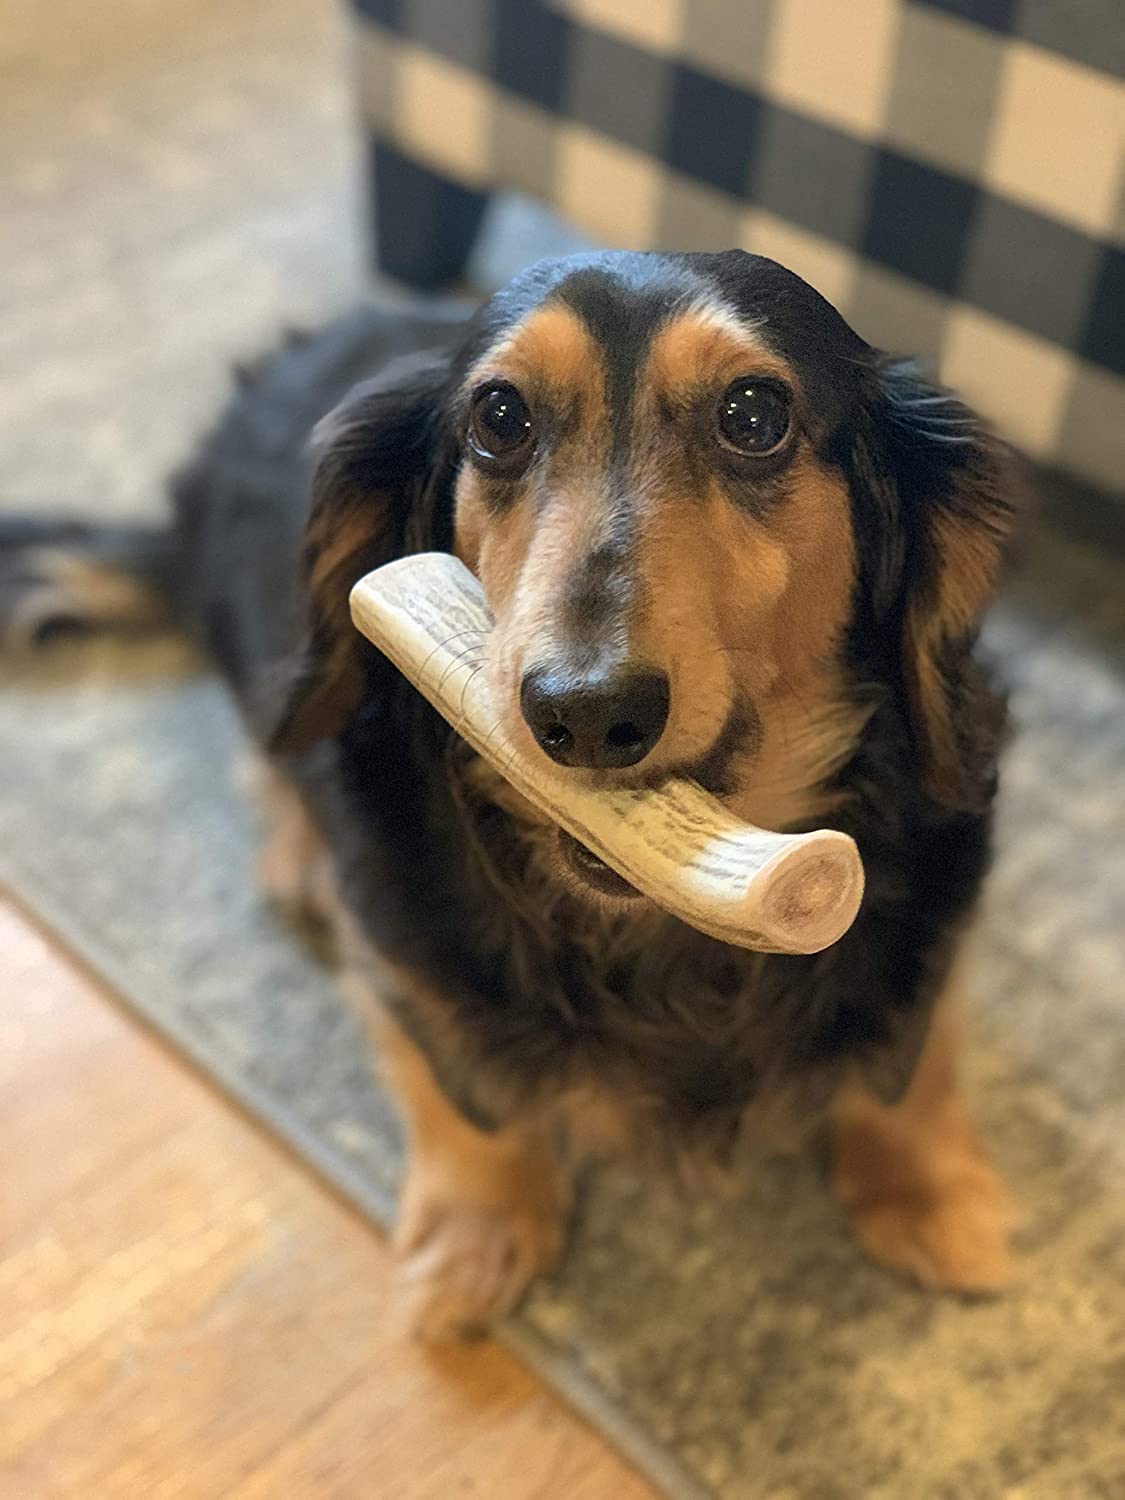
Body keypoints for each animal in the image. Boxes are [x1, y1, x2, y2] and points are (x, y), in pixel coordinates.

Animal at [2, 252, 1020, 1344]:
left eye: (754, 414)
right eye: (499, 416)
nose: (585, 712)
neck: (661, 934)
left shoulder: (938, 907)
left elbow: (910, 1062)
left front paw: (933, 1199)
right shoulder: (404, 946)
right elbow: (465, 1093)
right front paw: (479, 1235)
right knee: (276, 742)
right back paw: (295, 854)